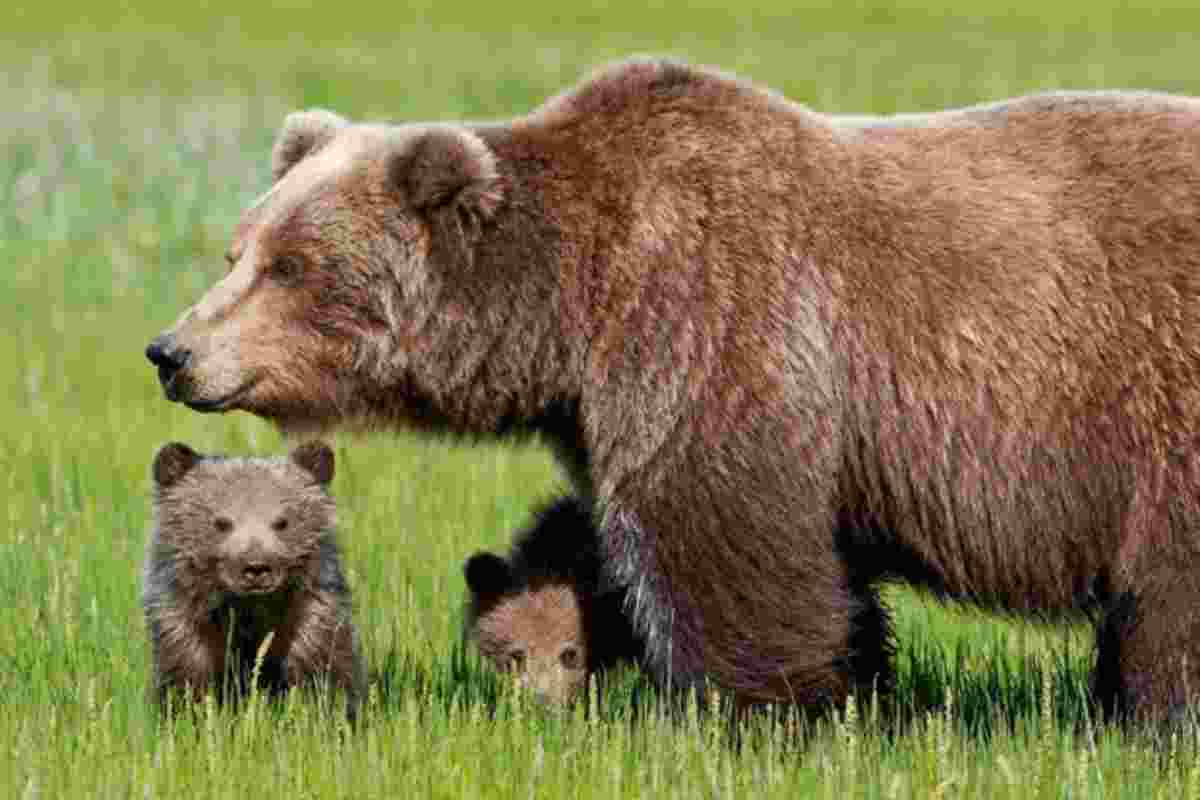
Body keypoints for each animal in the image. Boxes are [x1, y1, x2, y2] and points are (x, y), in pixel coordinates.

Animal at [143, 440, 365, 717]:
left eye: (282, 521)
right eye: (221, 522)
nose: (256, 567)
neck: (249, 614)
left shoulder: (310, 620)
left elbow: (325, 677)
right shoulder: (184, 625)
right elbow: (186, 682)